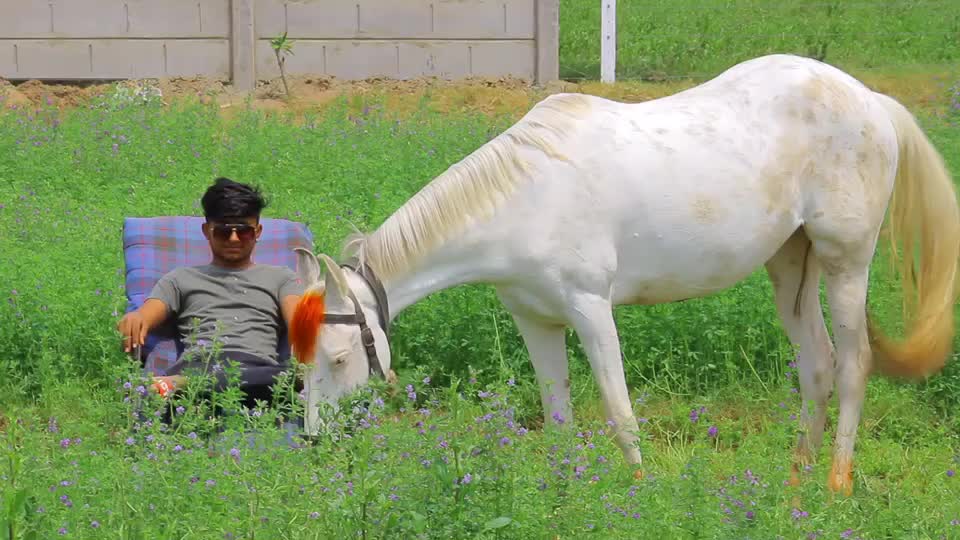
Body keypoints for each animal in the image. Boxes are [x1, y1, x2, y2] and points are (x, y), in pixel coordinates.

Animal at [289, 53, 960, 496]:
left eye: (341, 357)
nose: (315, 441)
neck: (524, 198)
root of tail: (871, 101)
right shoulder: (536, 321)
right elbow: (558, 418)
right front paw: (560, 499)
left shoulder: (590, 310)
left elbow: (618, 412)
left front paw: (637, 492)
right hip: (790, 265)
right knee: (816, 367)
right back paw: (794, 484)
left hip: (847, 262)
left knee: (852, 366)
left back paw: (836, 484)